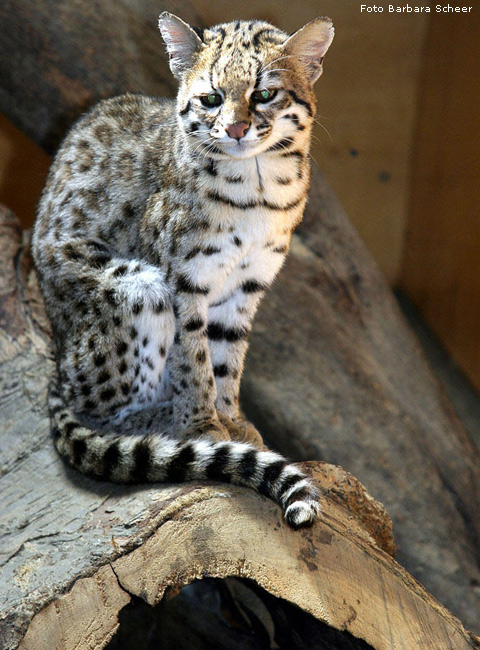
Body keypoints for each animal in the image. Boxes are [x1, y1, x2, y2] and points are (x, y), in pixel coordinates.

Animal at [32, 11, 334, 528]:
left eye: (264, 93)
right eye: (211, 98)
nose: (235, 129)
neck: (258, 189)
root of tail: (58, 353)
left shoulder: (245, 288)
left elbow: (228, 360)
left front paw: (231, 420)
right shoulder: (180, 278)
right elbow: (192, 358)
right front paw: (202, 425)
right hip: (136, 286)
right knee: (94, 408)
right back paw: (162, 425)